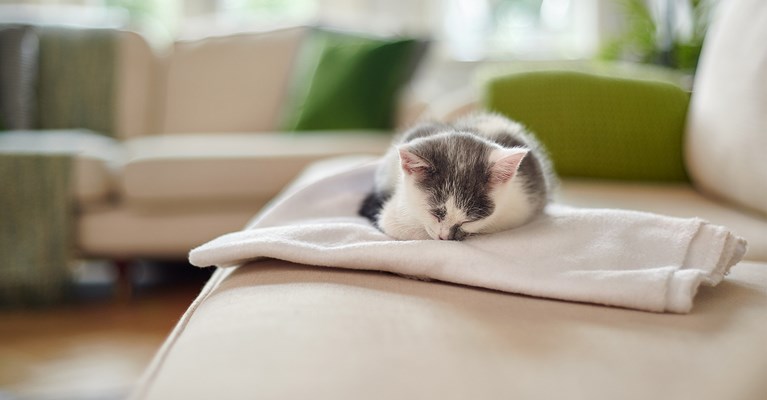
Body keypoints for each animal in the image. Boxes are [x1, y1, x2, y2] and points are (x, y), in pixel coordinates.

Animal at [360, 111, 560, 241]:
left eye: (469, 220)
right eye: (435, 213)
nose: (445, 237)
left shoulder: (522, 206)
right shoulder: (395, 211)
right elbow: (402, 228)